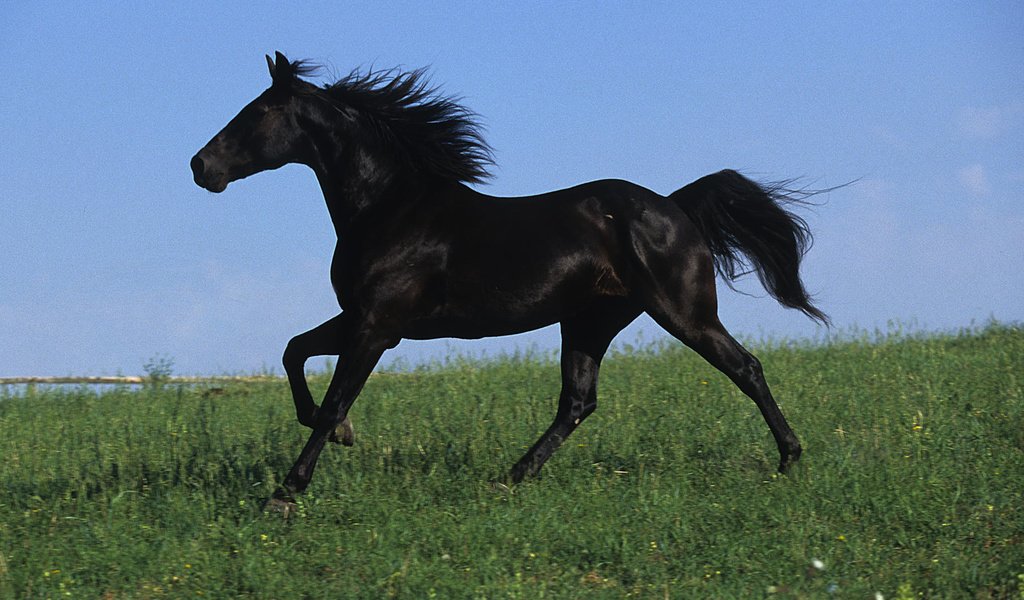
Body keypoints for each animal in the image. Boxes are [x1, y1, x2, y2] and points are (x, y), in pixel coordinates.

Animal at [192, 52, 827, 509]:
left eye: (256, 113)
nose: (201, 166)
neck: (388, 208)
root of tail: (676, 207)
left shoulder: (376, 327)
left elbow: (330, 399)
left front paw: (287, 491)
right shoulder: (364, 320)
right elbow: (294, 352)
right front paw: (344, 436)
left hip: (683, 313)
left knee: (745, 368)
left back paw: (790, 459)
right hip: (590, 322)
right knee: (577, 402)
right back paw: (512, 477)